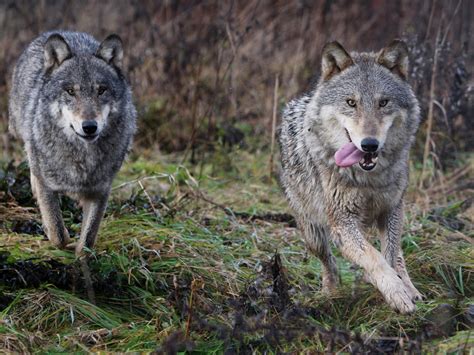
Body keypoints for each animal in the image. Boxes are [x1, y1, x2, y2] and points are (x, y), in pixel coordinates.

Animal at [8, 31, 136, 256]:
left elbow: (88, 239)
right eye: (70, 91)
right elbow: (58, 233)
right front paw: (57, 237)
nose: (89, 126)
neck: (82, 158)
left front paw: (81, 258)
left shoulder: (101, 191)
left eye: (101, 90)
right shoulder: (47, 186)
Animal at [278, 40, 422, 316]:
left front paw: (401, 290)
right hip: (313, 233)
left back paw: (411, 287)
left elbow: (389, 256)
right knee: (328, 262)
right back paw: (330, 293)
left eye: (383, 102)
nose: (369, 144)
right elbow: (374, 258)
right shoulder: (342, 223)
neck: (369, 179)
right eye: (351, 102)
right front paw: (396, 293)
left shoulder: (391, 210)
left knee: (398, 252)